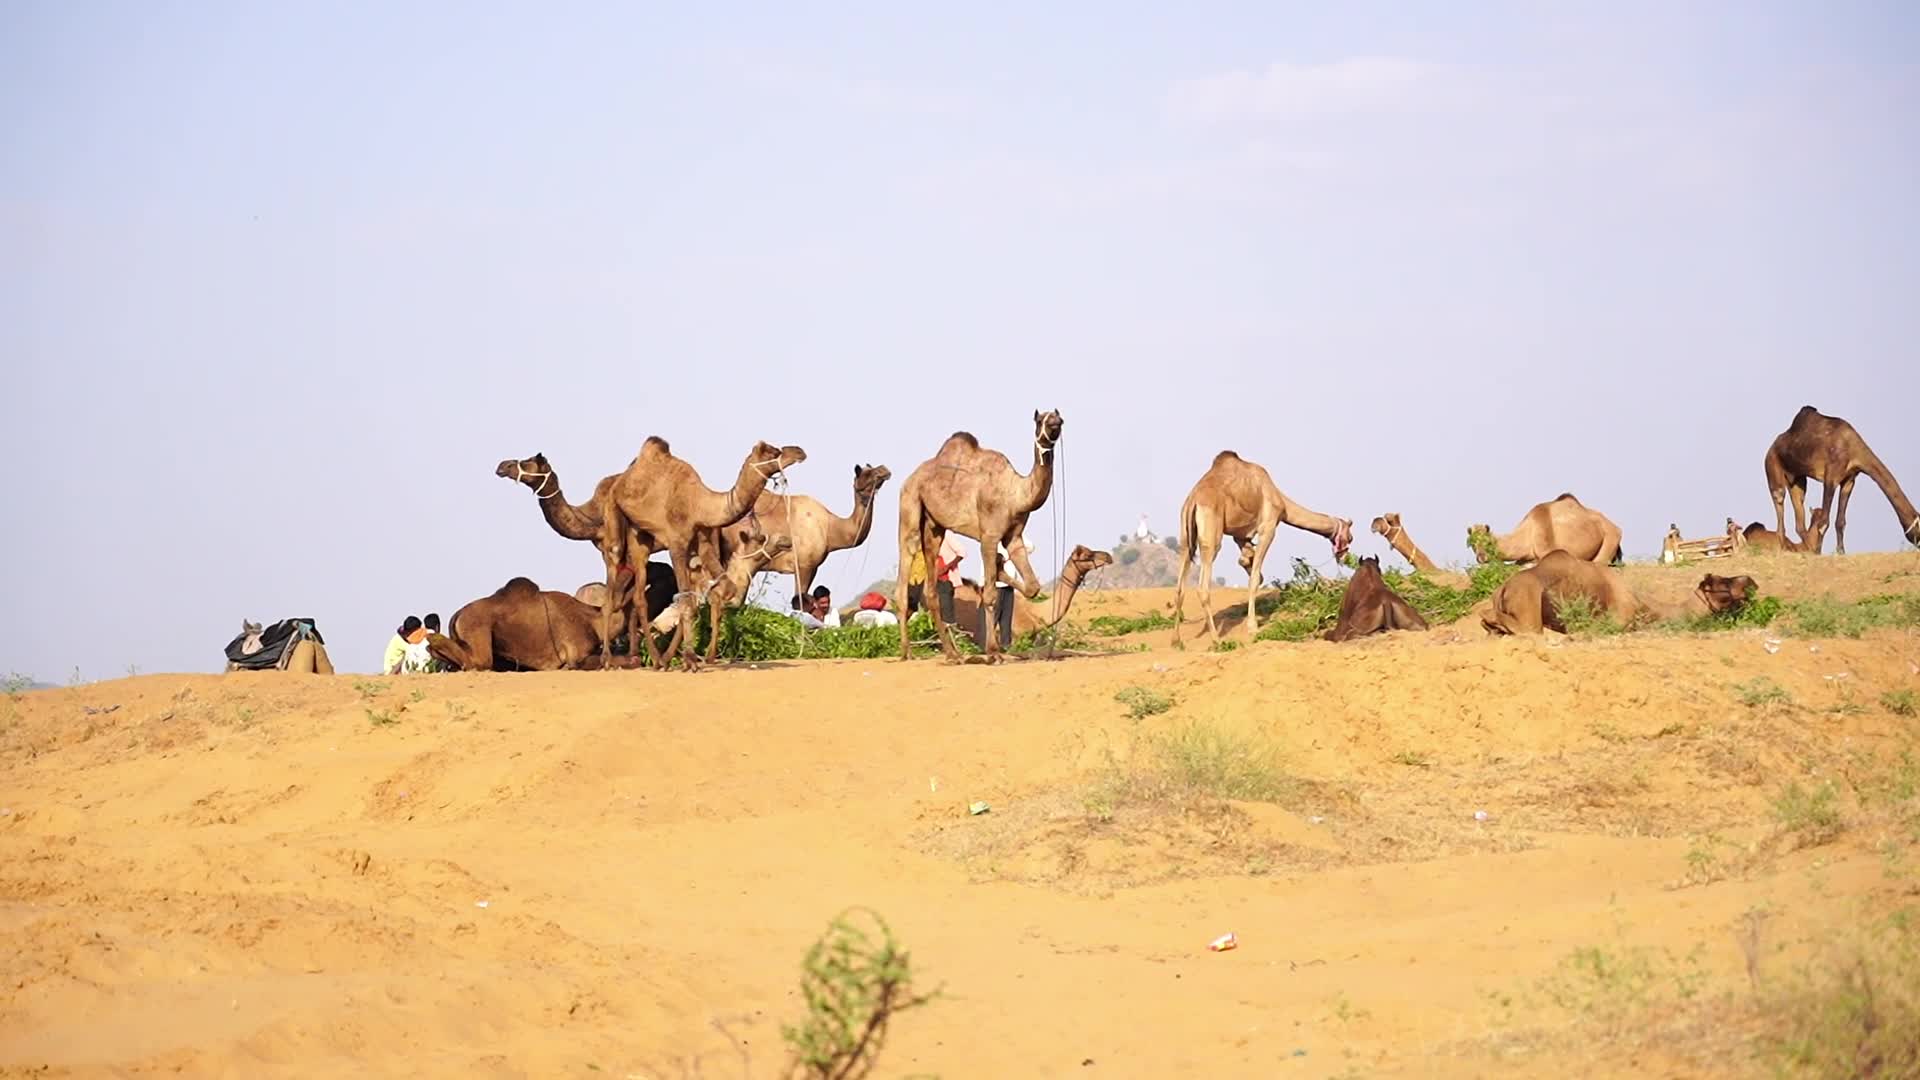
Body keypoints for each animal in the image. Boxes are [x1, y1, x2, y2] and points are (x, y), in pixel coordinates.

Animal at [427, 574, 635, 671]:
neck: (595, 622)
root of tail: (458, 614)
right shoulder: (576, 655)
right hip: (477, 630)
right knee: (478, 662)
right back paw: (434, 640)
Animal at [597, 438, 807, 669]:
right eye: (773, 452)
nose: (799, 451)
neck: (700, 505)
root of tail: (623, 478)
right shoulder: (677, 544)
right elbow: (686, 599)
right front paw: (690, 659)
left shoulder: (704, 541)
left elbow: (722, 591)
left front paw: (682, 656)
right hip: (613, 516)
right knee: (612, 577)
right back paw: (608, 658)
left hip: (640, 533)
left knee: (638, 596)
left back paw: (656, 659)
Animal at [895, 411, 1063, 662]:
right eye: (1039, 420)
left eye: (1058, 418)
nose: (1054, 423)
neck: (1015, 494)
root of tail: (909, 479)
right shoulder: (989, 536)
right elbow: (991, 594)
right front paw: (993, 653)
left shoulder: (1014, 537)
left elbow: (1033, 587)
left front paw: (1002, 572)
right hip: (910, 506)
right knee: (906, 565)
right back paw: (907, 652)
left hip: (935, 527)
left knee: (931, 590)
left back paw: (952, 654)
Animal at [1170, 451, 1353, 645]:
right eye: (1350, 537)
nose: (1344, 556)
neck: (1282, 502)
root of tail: (1194, 502)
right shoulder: (1269, 525)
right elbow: (1255, 577)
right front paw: (1252, 627)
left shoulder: (1240, 535)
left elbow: (1248, 562)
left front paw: (1247, 561)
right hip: (1211, 533)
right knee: (1203, 585)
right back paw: (1216, 639)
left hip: (1185, 535)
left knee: (1180, 585)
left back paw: (1176, 640)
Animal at [1764, 405, 1919, 555]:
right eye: (1919, 529)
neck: (1854, 450)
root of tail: (1771, 447)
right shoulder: (1830, 478)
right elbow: (1823, 522)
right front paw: (1819, 553)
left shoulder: (1849, 480)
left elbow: (1840, 521)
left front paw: (1841, 552)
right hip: (1772, 465)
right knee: (1779, 498)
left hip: (1797, 479)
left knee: (1799, 517)